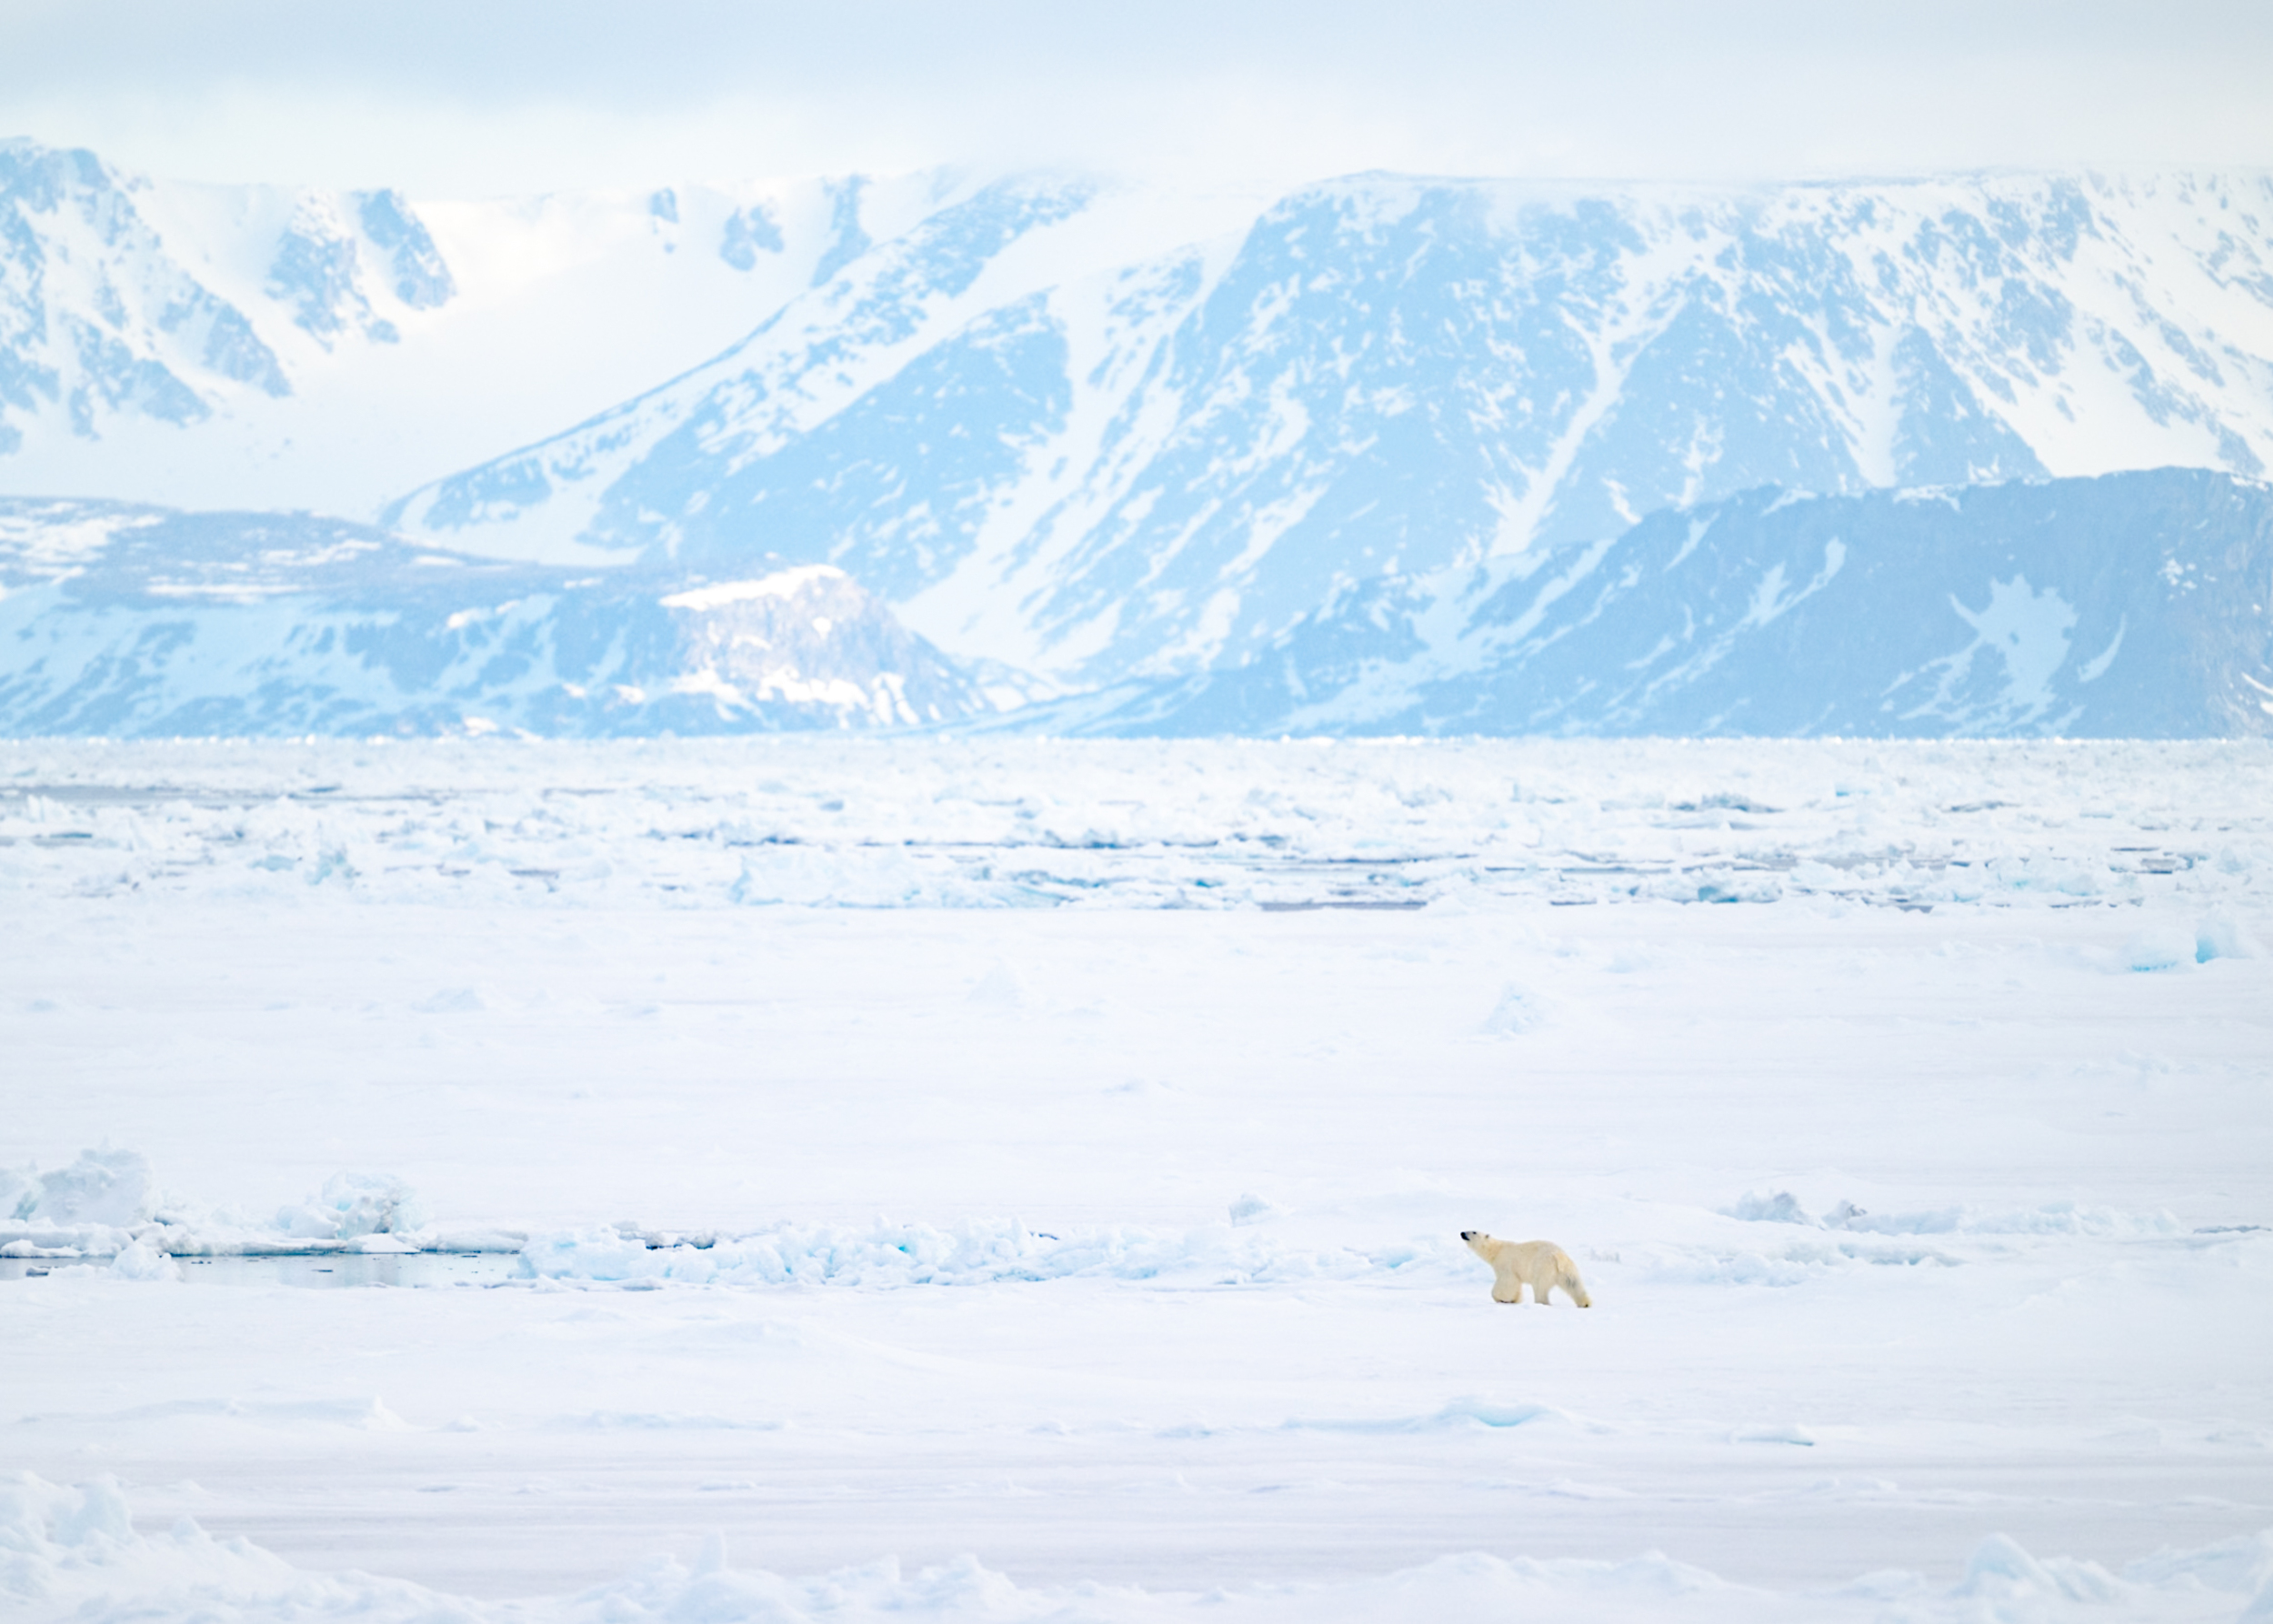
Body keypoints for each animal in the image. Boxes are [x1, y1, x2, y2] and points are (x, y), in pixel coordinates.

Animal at [1461, 1230, 1591, 1307]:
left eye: (1474, 1232)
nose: (1462, 1233)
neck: (1496, 1251)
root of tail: (1558, 1256)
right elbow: (1516, 1285)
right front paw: (1514, 1300)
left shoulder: (1505, 1264)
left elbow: (1507, 1282)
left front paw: (1501, 1298)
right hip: (1567, 1270)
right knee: (1574, 1284)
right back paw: (1585, 1303)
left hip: (1542, 1267)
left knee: (1540, 1287)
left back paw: (1541, 1303)